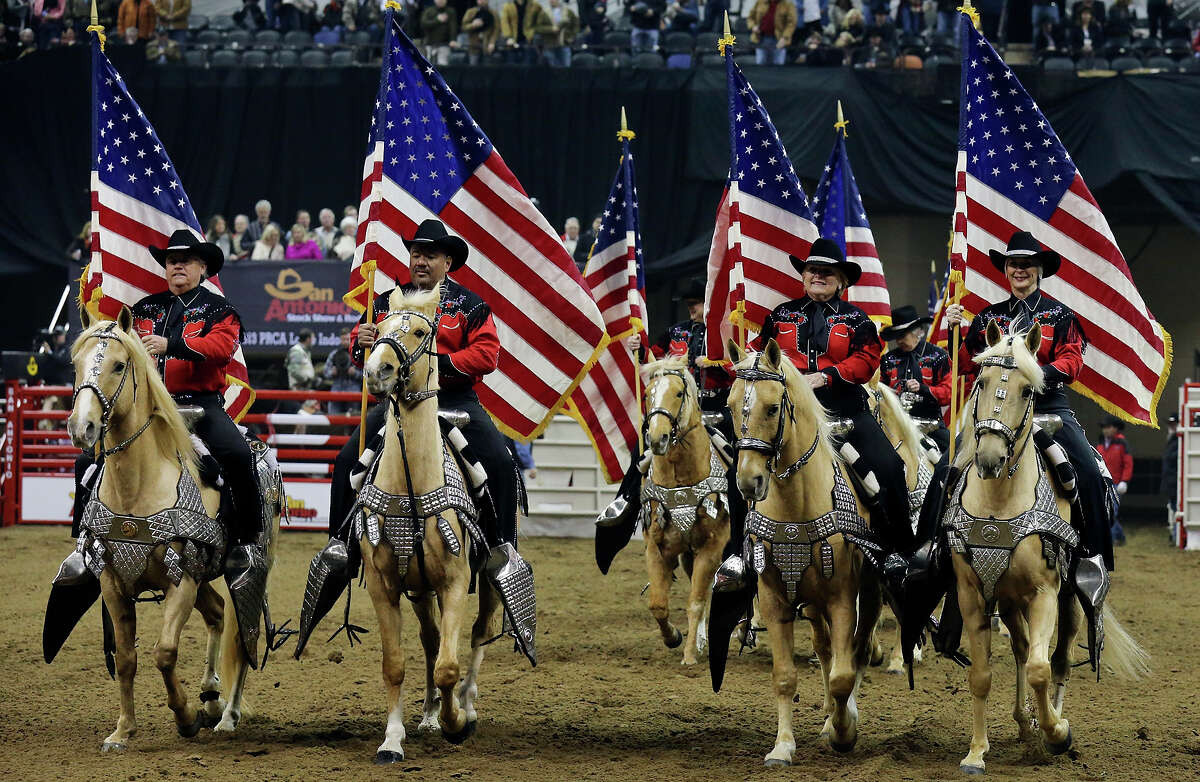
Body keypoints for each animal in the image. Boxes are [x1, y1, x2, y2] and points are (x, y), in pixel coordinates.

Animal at [63, 309, 283, 753]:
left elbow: (164, 652)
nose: (82, 428)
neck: (139, 486)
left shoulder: (182, 578)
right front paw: (122, 731)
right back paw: (211, 698)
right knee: (217, 614)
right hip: (202, 579)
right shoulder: (113, 581)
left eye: (118, 365)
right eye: (76, 364)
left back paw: (227, 717)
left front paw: (184, 717)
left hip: (242, 569)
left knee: (242, 634)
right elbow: (127, 658)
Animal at [355, 285, 506, 762]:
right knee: (429, 637)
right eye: (380, 327)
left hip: (488, 577)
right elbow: (395, 664)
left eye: (421, 331)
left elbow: (448, 666)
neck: (411, 483)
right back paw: (427, 713)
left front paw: (456, 722)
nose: (377, 371)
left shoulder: (455, 581)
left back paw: (465, 706)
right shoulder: (384, 584)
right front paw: (393, 738)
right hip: (419, 589)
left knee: (477, 634)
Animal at [643, 357, 724, 662]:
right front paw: (674, 638)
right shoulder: (657, 547)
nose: (658, 438)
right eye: (648, 393)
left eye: (679, 393)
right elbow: (658, 604)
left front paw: (689, 655)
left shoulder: (713, 548)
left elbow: (696, 603)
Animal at [720, 338, 883, 762]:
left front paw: (843, 731)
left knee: (856, 652)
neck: (797, 504)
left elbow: (843, 675)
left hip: (867, 594)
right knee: (825, 650)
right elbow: (785, 676)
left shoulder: (843, 598)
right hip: (811, 603)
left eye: (772, 407)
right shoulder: (774, 599)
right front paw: (782, 746)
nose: (749, 481)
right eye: (730, 406)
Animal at [945, 321, 1142, 772]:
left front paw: (1057, 733)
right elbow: (981, 674)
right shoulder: (972, 593)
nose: (990, 458)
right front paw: (976, 752)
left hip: (1071, 598)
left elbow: (1041, 668)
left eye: (1026, 391)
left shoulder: (1045, 593)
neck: (999, 503)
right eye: (980, 382)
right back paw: (1024, 721)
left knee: (1060, 660)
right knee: (1020, 650)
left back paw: (1047, 722)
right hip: (1009, 599)